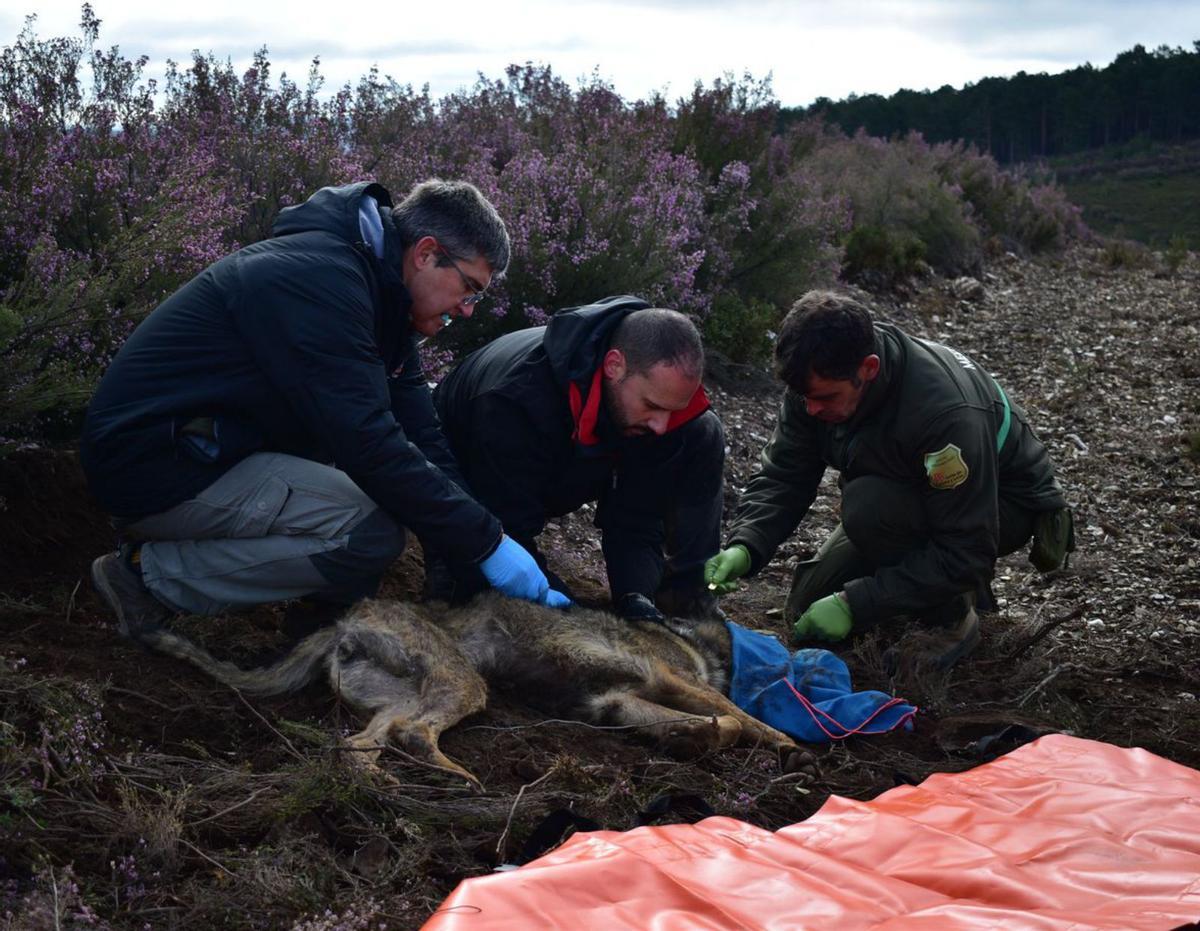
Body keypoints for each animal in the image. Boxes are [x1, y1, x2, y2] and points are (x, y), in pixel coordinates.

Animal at [138, 597, 816, 787]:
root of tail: (345, 618)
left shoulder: (617, 702)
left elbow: (712, 724)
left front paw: (692, 740)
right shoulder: (668, 679)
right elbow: (738, 717)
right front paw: (789, 744)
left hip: (403, 694)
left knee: (363, 743)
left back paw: (393, 782)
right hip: (462, 682)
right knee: (410, 734)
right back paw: (452, 777)